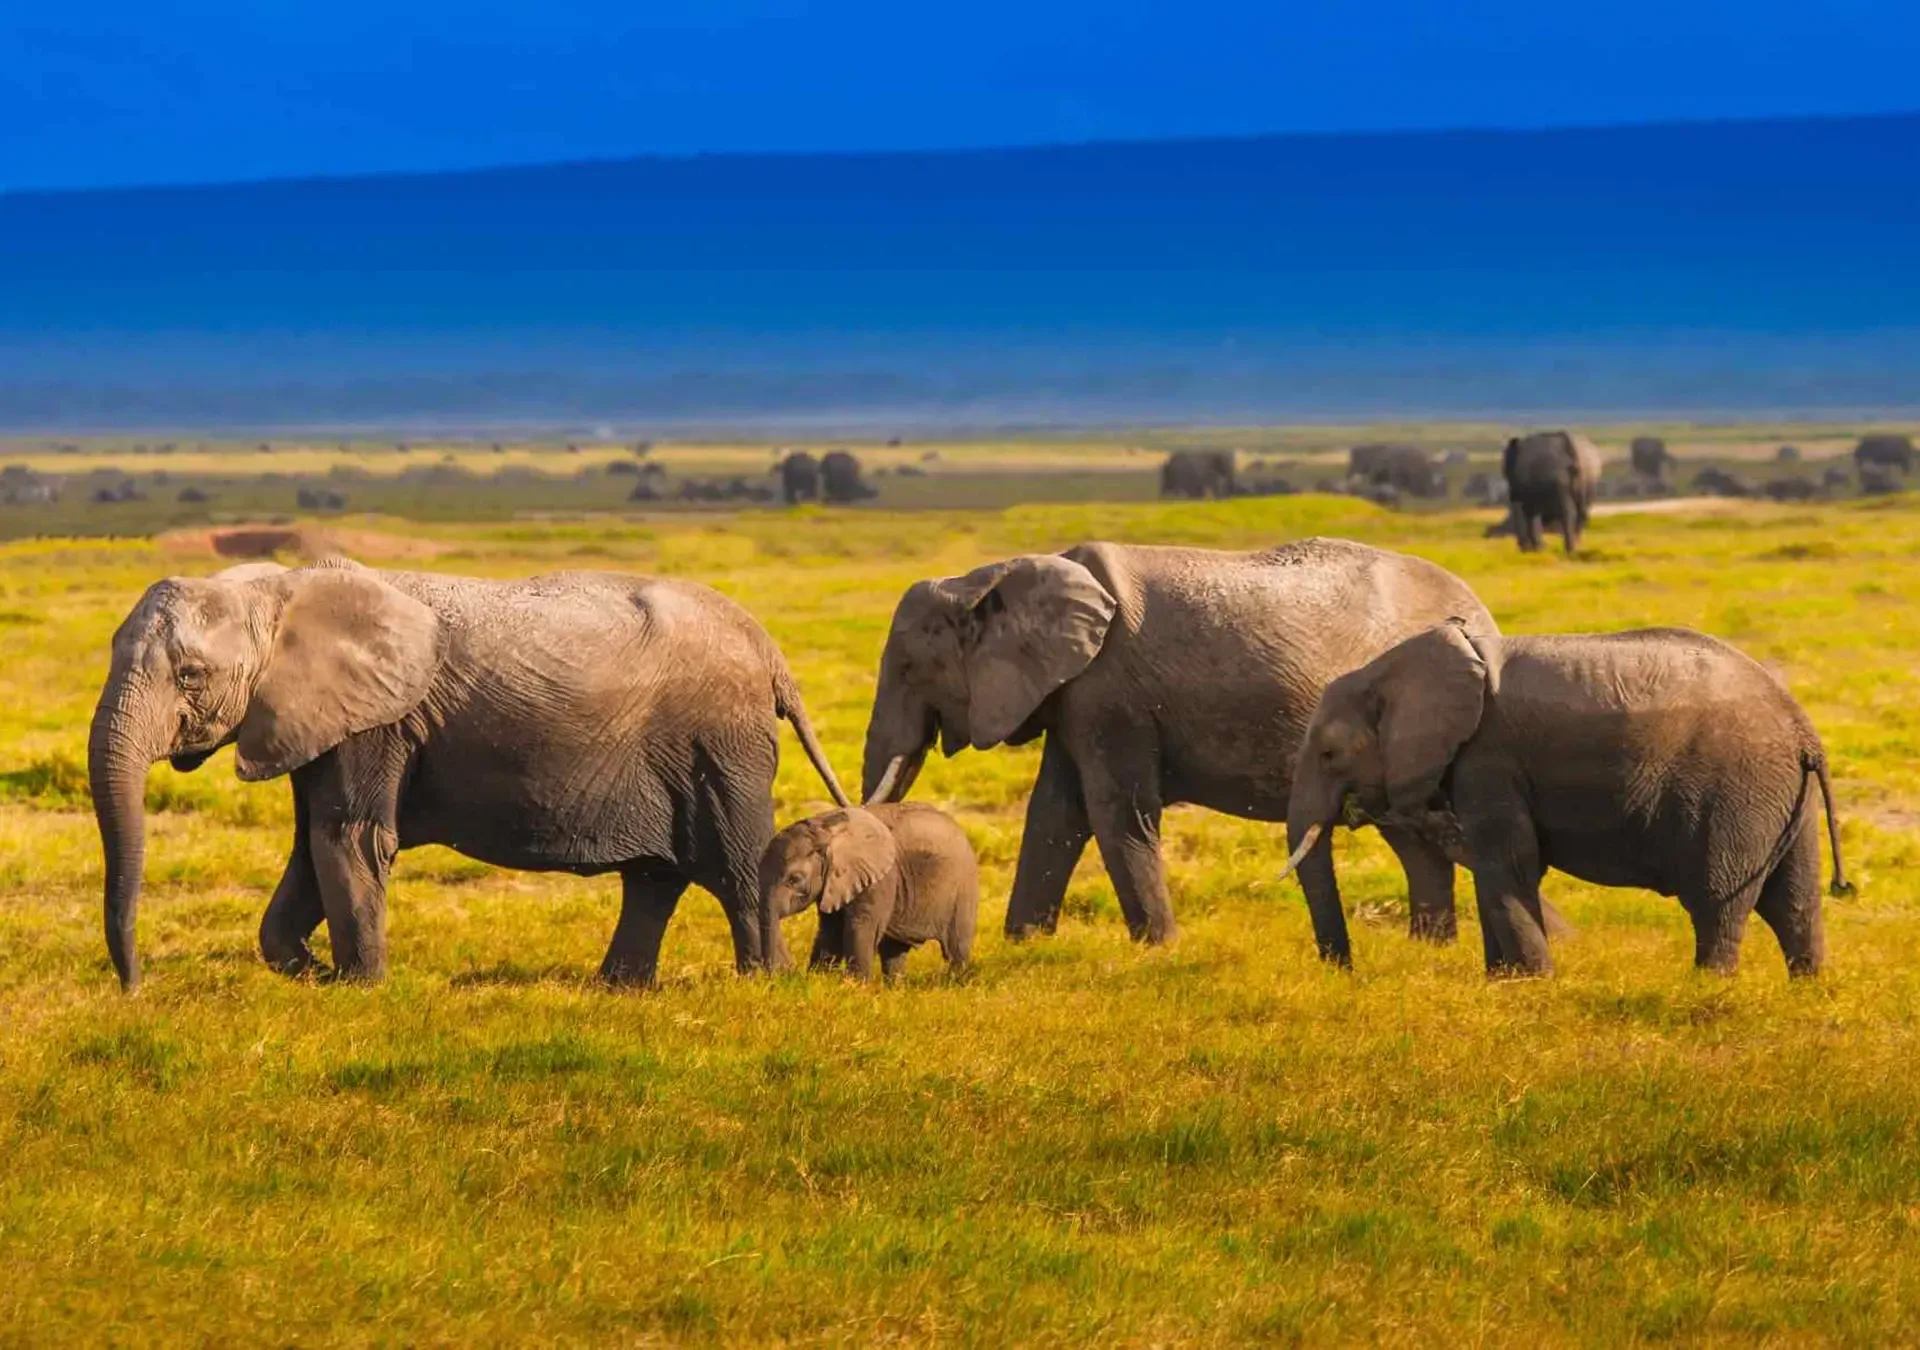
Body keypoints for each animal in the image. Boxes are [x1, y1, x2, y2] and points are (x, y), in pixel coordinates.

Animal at [88, 559, 850, 990]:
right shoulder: (318, 718)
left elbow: (349, 840)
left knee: (736, 870)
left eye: (190, 676)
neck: (276, 592)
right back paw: (619, 991)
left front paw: (360, 987)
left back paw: (765, 985)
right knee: (654, 877)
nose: (135, 989)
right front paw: (310, 972)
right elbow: (312, 846)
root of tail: (770, 652)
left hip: (721, 745)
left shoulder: (378, 720)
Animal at [759, 802, 978, 981]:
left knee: (956, 949)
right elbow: (830, 929)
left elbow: (861, 926)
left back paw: (954, 985)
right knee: (893, 952)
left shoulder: (880, 878)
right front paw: (819, 980)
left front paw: (855, 987)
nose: (777, 976)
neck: (826, 828)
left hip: (963, 887)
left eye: (794, 879)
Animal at [860, 538, 1506, 950]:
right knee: (1414, 840)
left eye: (909, 668)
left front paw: (1161, 950)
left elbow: (1115, 812)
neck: (989, 577)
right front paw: (1025, 946)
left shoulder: (1109, 690)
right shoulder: (1074, 696)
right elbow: (1054, 814)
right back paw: (1431, 952)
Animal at [1283, 622, 1849, 977]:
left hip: (1737, 793)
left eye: (1329, 753)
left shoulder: (1489, 758)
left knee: (1718, 900)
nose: (1347, 972)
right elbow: (1495, 866)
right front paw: (1503, 985)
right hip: (1780, 798)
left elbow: (1508, 863)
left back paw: (1705, 989)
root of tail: (1803, 732)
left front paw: (1533, 984)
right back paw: (1807, 992)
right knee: (1794, 900)